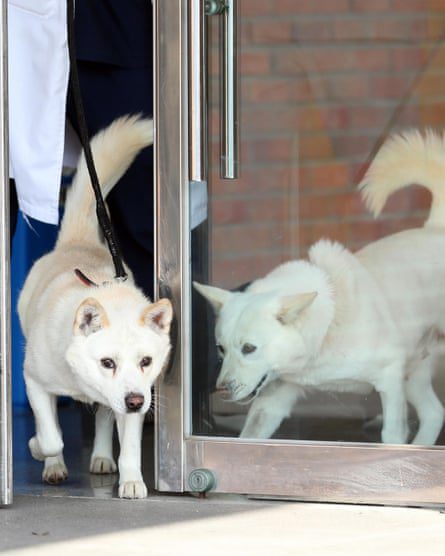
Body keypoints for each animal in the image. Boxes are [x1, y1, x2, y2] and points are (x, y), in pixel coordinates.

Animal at [18, 115, 172, 498]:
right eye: (107, 362)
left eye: (146, 361)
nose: (135, 402)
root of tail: (80, 240)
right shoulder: (33, 381)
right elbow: (52, 436)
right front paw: (37, 449)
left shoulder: (132, 398)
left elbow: (129, 446)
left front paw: (132, 481)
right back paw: (54, 466)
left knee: (103, 417)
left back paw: (102, 457)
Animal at [195, 129, 445, 444]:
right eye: (220, 348)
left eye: (249, 348)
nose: (222, 389)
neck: (327, 326)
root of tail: (434, 228)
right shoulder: (275, 397)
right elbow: (251, 436)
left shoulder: (390, 379)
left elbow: (392, 435)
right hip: (414, 374)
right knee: (435, 413)